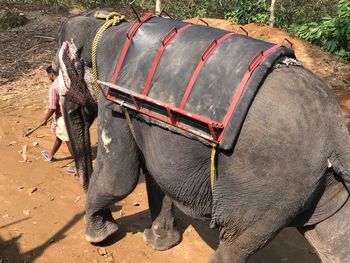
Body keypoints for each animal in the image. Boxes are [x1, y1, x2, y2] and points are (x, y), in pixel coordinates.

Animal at [54, 11, 350, 263]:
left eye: (56, 71)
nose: (79, 182)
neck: (104, 27)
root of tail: (335, 131)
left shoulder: (112, 99)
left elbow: (119, 177)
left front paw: (99, 236)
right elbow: (154, 173)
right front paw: (159, 243)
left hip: (269, 187)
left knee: (236, 243)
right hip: (317, 184)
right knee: (333, 239)